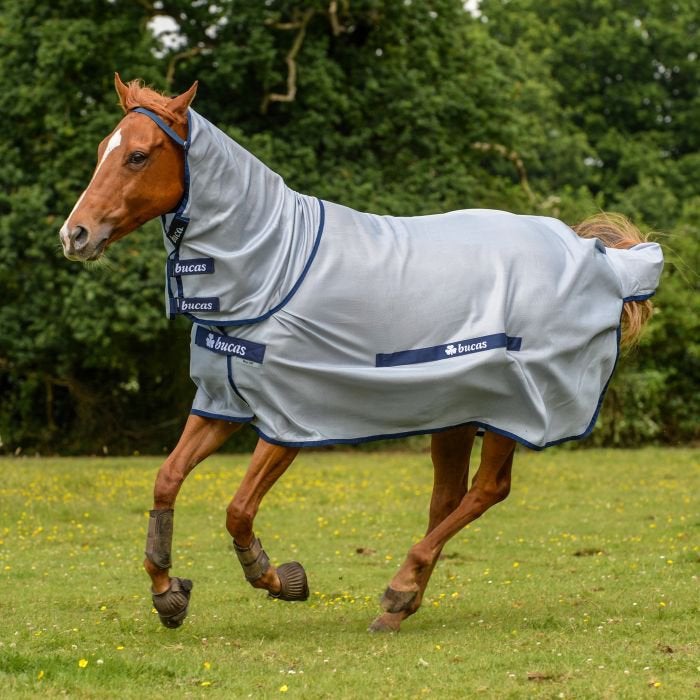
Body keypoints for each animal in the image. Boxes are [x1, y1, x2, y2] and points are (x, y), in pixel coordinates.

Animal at [59, 75, 663, 632]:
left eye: (138, 155)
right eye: (104, 149)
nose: (74, 235)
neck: (274, 267)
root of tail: (602, 258)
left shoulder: (288, 417)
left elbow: (237, 510)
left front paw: (278, 578)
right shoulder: (222, 403)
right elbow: (165, 479)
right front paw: (168, 592)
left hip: (511, 408)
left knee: (487, 490)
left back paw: (400, 588)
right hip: (454, 411)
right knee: (448, 497)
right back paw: (402, 604)